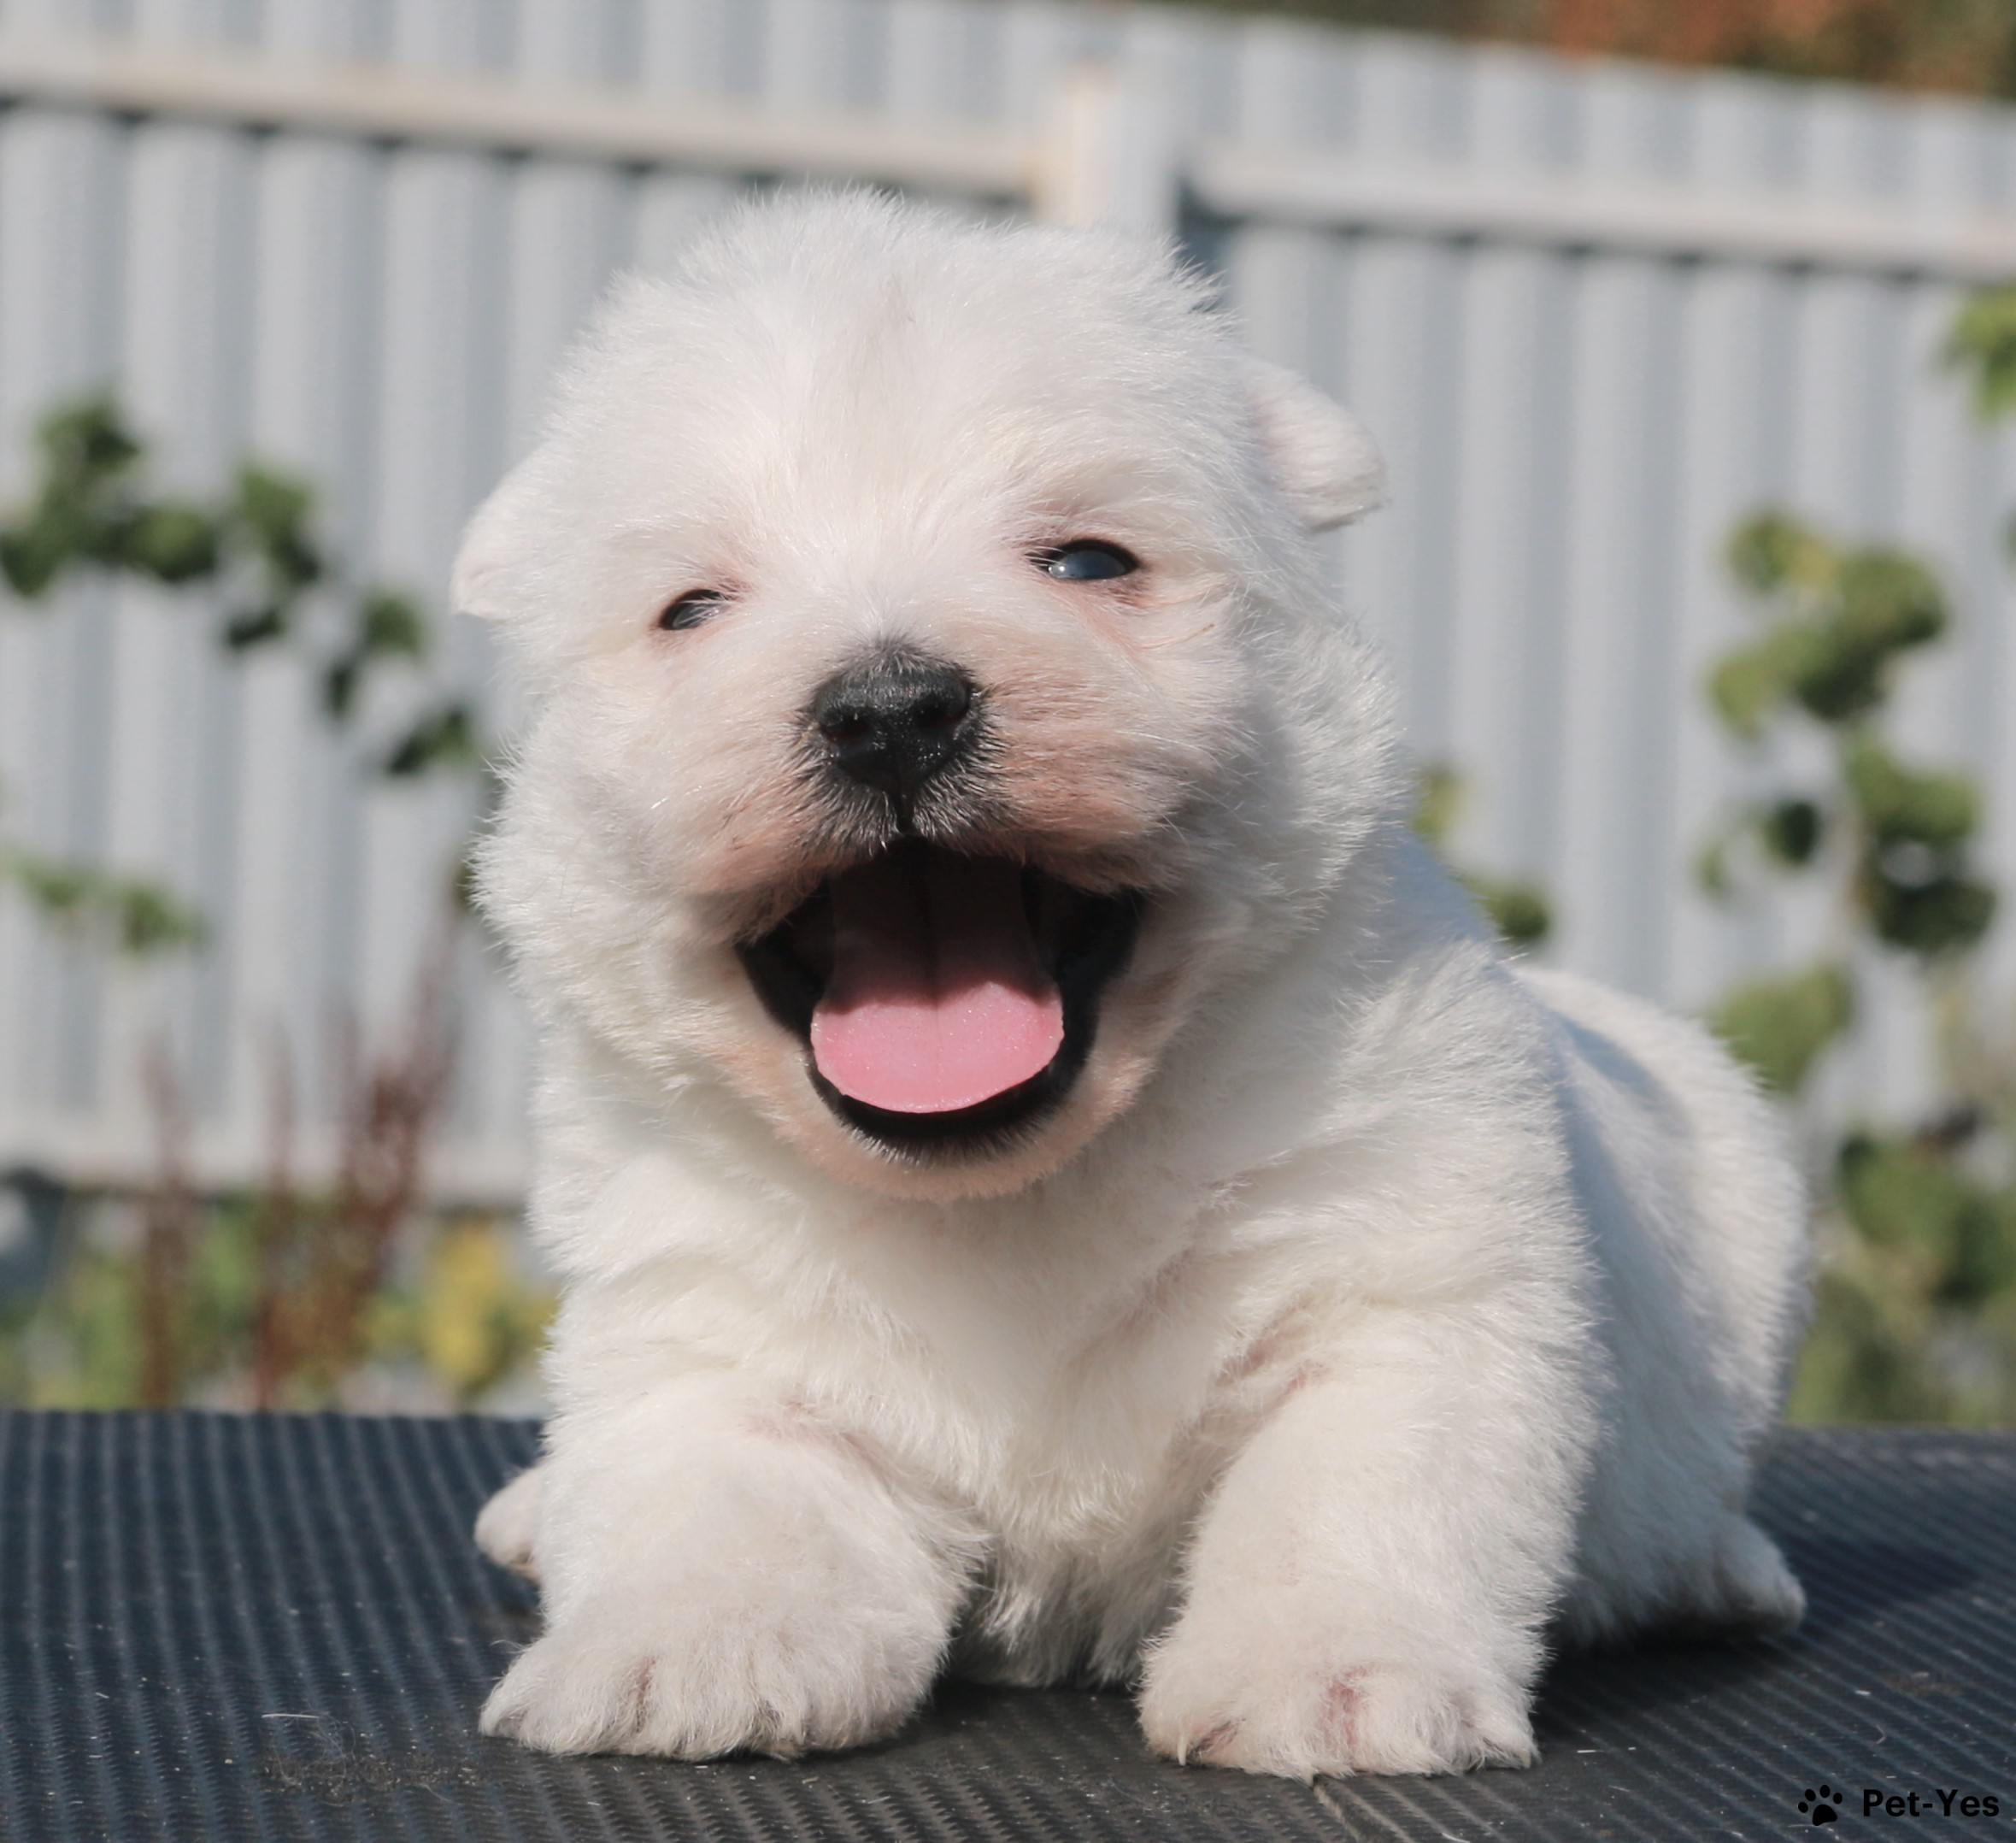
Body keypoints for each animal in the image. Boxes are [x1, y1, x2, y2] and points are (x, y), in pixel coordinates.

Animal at [457, 193, 1814, 1774]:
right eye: (690, 610)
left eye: (1087, 563)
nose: (888, 711)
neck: (1004, 1194)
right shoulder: (699, 1314)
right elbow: (717, 1479)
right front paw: (688, 1644)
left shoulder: (1409, 1278)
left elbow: (1350, 1481)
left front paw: (1328, 1673)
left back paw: (1718, 1565)